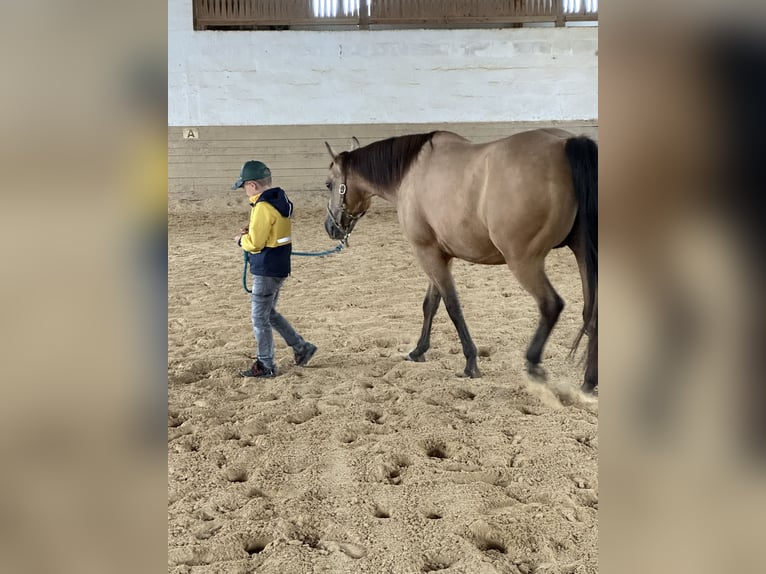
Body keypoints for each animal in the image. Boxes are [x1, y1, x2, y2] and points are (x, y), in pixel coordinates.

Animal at [324, 128, 600, 394]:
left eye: (328, 184)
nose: (330, 227)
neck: (411, 172)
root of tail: (565, 144)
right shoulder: (439, 254)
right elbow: (431, 304)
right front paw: (419, 350)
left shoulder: (426, 252)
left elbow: (452, 307)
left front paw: (470, 362)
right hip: (583, 253)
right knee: (592, 313)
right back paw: (588, 383)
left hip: (524, 261)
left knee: (551, 305)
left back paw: (533, 365)